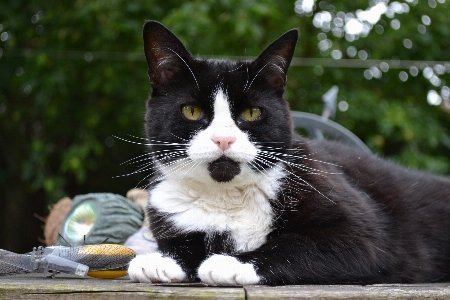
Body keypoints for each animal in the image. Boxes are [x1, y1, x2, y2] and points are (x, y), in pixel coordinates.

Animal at [125, 21, 450, 286]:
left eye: (252, 112)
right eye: (191, 111)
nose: (224, 139)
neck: (226, 196)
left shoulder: (361, 234)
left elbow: (295, 243)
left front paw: (230, 263)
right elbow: (184, 242)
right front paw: (163, 260)